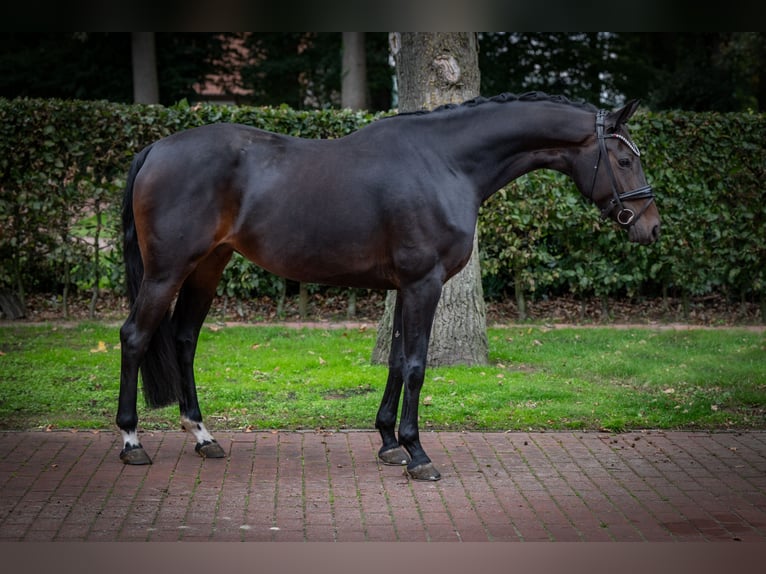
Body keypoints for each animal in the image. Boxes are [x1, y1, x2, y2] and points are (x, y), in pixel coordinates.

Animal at [117, 92, 660, 481]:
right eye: (625, 161)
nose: (651, 227)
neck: (444, 162)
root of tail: (155, 149)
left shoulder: (404, 286)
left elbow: (398, 361)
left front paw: (389, 444)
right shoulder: (424, 283)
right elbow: (417, 365)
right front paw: (418, 454)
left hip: (208, 266)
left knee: (185, 340)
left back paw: (203, 436)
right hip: (166, 272)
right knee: (134, 337)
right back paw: (131, 442)